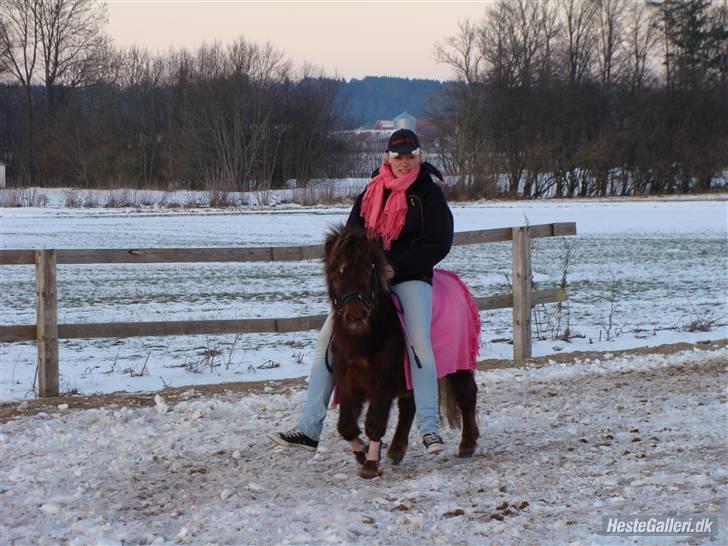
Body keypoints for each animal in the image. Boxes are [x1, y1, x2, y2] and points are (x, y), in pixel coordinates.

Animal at [324, 222, 478, 476]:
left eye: (367, 273)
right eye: (336, 276)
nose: (356, 315)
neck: (365, 340)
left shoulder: (383, 383)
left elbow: (374, 423)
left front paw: (370, 466)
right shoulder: (347, 382)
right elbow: (346, 426)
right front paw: (362, 453)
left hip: (459, 363)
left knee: (467, 395)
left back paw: (467, 443)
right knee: (409, 406)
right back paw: (396, 449)